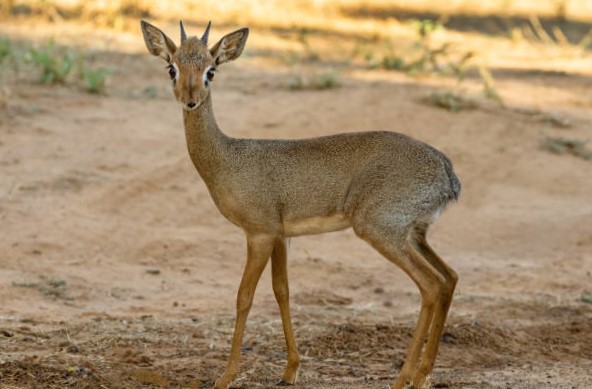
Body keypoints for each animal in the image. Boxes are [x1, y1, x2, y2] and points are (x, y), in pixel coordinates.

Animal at [141, 19, 460, 388]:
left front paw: (226, 376)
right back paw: (422, 374)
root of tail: (446, 171)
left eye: (211, 70)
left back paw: (404, 377)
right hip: (415, 234)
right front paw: (291, 369)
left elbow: (244, 297)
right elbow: (283, 291)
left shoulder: (259, 234)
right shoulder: (281, 236)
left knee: (431, 286)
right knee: (449, 278)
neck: (228, 159)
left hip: (380, 231)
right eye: (172, 67)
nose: (190, 100)